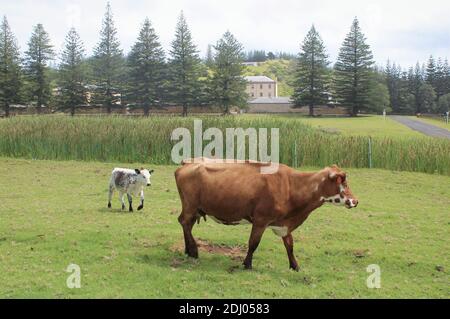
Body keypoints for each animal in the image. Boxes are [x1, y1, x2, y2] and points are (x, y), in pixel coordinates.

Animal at [174, 160, 356, 272]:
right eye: (345, 184)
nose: (356, 201)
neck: (292, 186)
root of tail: (188, 164)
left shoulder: (283, 224)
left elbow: (290, 245)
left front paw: (295, 266)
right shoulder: (261, 220)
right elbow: (253, 243)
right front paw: (247, 264)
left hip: (195, 209)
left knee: (186, 224)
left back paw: (188, 249)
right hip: (190, 206)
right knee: (184, 222)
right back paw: (194, 251)